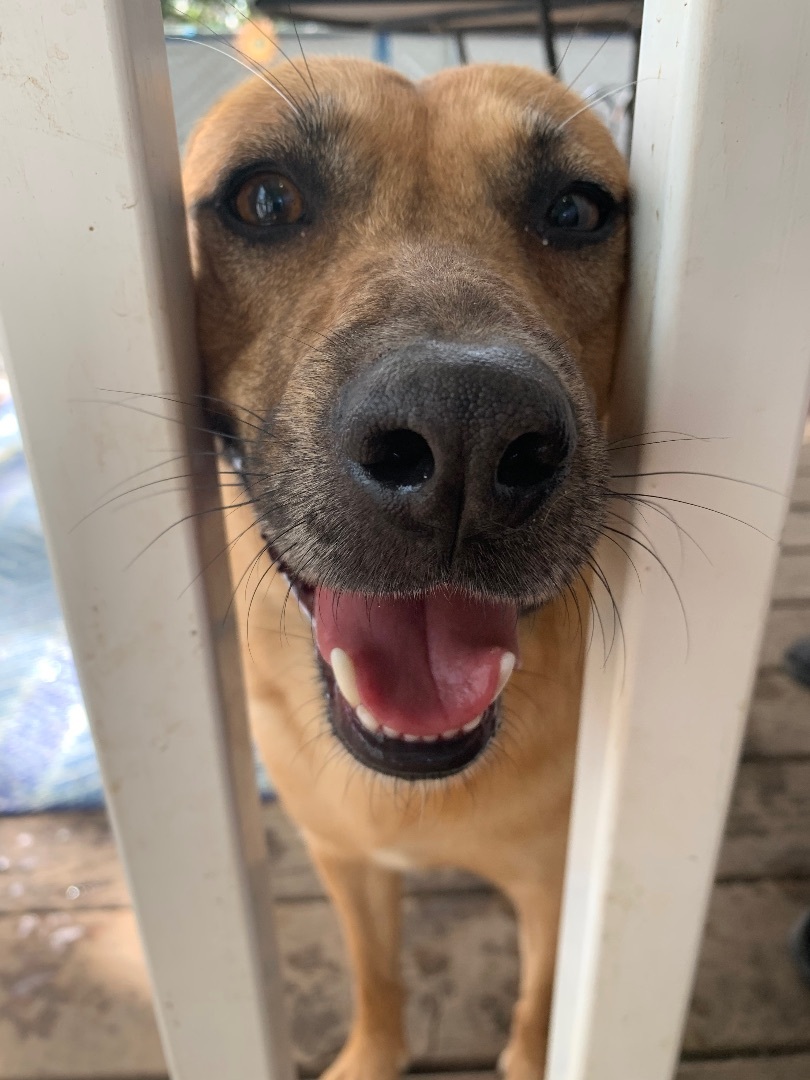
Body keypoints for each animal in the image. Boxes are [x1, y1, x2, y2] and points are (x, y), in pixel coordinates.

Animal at [182, 59, 626, 1080]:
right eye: (266, 199)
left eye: (574, 210)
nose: (466, 433)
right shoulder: (345, 861)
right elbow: (374, 974)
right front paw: (372, 1054)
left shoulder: (556, 884)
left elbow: (541, 1007)